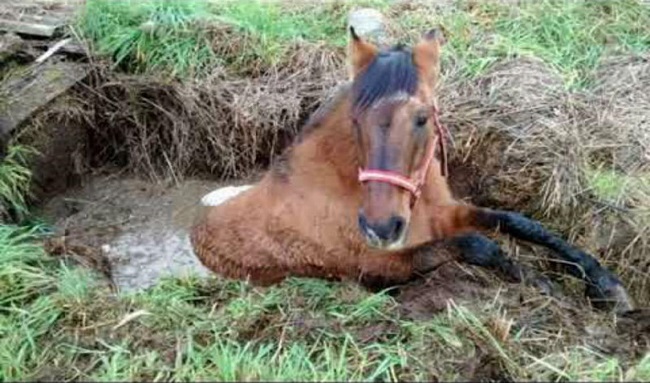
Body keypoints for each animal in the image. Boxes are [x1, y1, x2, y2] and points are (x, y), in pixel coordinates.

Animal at [189, 27, 632, 316]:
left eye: (422, 118)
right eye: (355, 120)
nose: (381, 227)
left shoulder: (449, 213)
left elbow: (521, 223)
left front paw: (606, 286)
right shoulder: (381, 265)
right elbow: (479, 246)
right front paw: (541, 284)